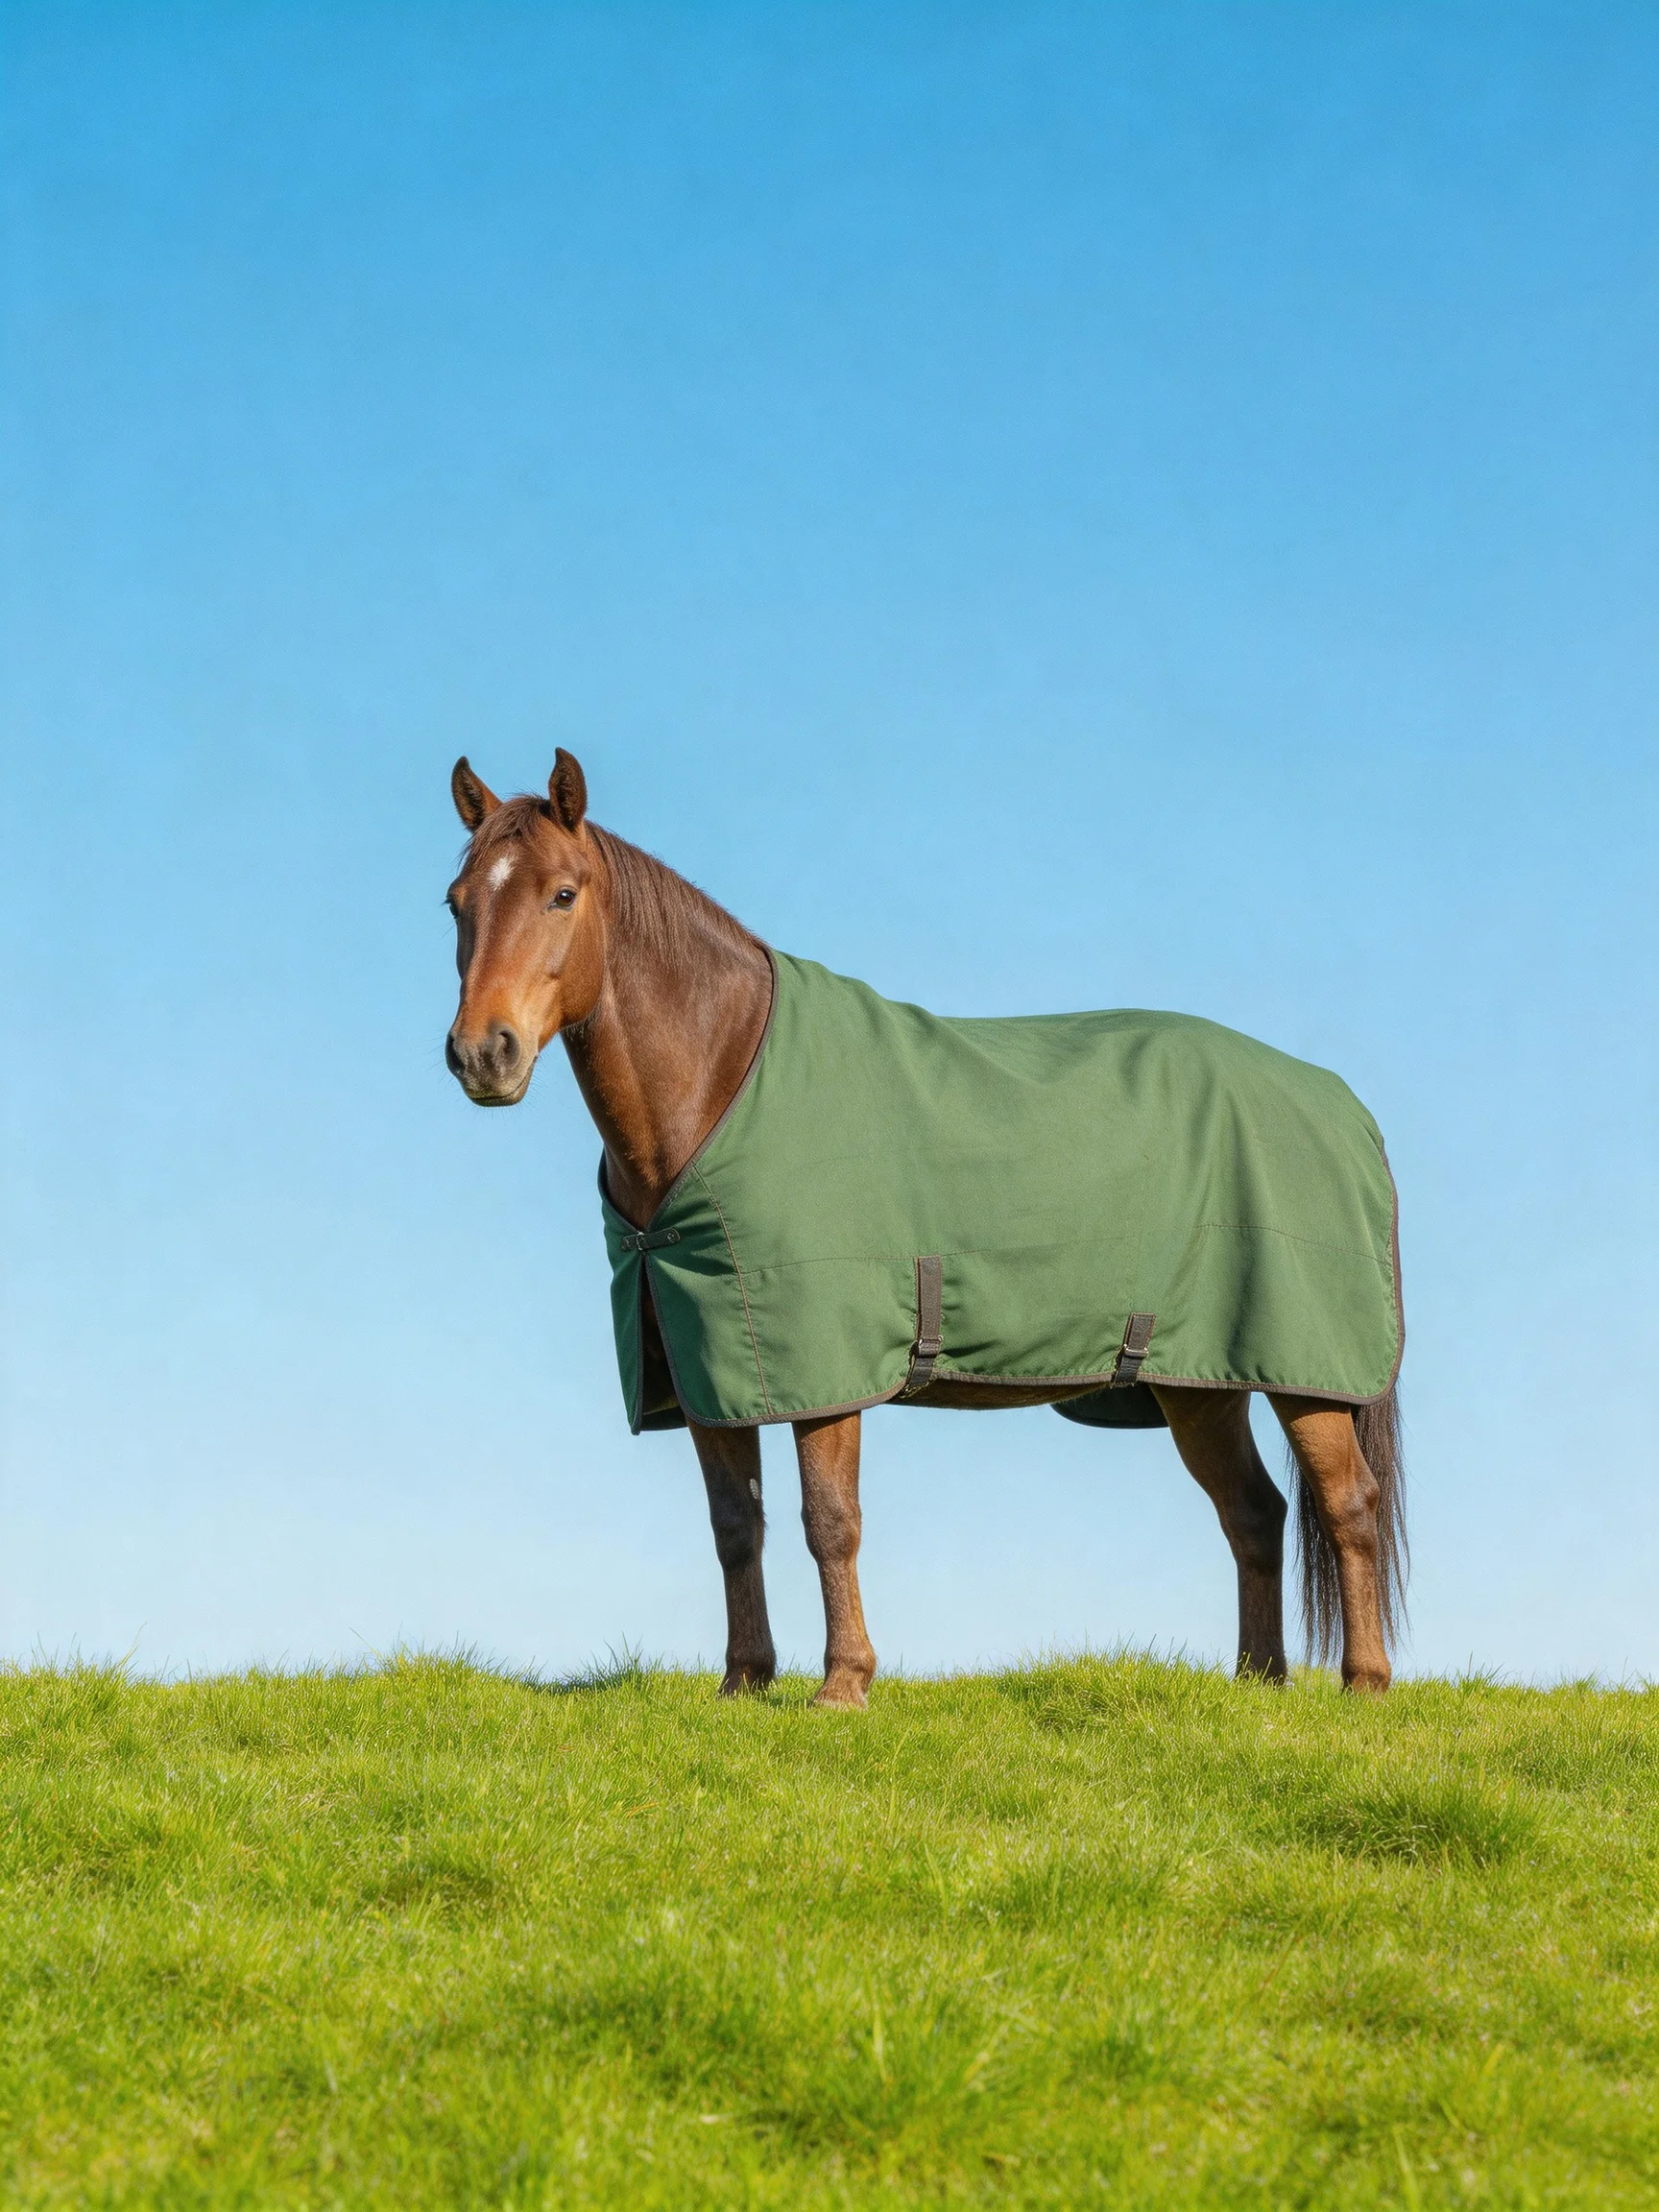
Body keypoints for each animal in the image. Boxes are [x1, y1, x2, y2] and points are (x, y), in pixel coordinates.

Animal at [443, 750, 1406, 1707]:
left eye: (563, 894)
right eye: (456, 902)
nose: (482, 1054)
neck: (721, 1082)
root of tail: (1347, 1108)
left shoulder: (822, 1366)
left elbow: (829, 1520)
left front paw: (843, 1684)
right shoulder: (706, 1362)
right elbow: (734, 1524)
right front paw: (744, 1683)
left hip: (1305, 1370)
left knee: (1347, 1504)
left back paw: (1363, 1683)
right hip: (1201, 1380)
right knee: (1254, 1511)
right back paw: (1259, 1683)